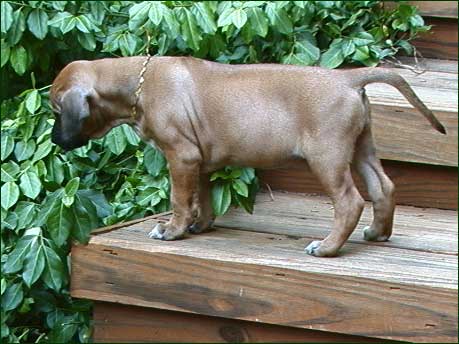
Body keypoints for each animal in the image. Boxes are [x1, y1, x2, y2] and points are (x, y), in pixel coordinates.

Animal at [50, 55, 446, 255]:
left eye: (56, 109)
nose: (55, 141)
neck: (137, 81)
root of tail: (348, 79)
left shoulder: (181, 157)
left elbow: (180, 199)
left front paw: (173, 230)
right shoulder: (198, 161)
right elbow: (203, 197)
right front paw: (199, 226)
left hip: (327, 156)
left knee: (349, 201)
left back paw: (328, 247)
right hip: (361, 145)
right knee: (383, 187)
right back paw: (378, 234)